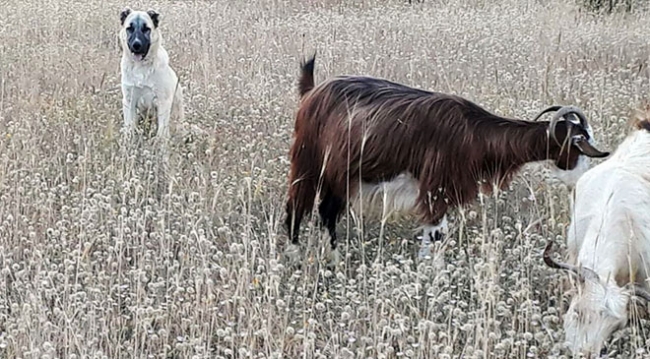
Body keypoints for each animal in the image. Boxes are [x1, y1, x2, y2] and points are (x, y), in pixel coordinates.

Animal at [118, 7, 182, 141]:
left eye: (146, 29)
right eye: (129, 28)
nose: (136, 45)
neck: (140, 67)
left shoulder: (163, 102)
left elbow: (162, 133)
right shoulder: (129, 101)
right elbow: (129, 128)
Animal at [284, 54, 608, 260]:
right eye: (580, 145)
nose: (584, 181)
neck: (474, 133)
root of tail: (312, 92)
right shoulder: (435, 189)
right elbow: (437, 235)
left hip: (339, 174)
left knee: (327, 211)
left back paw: (334, 261)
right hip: (308, 161)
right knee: (297, 207)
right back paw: (295, 256)